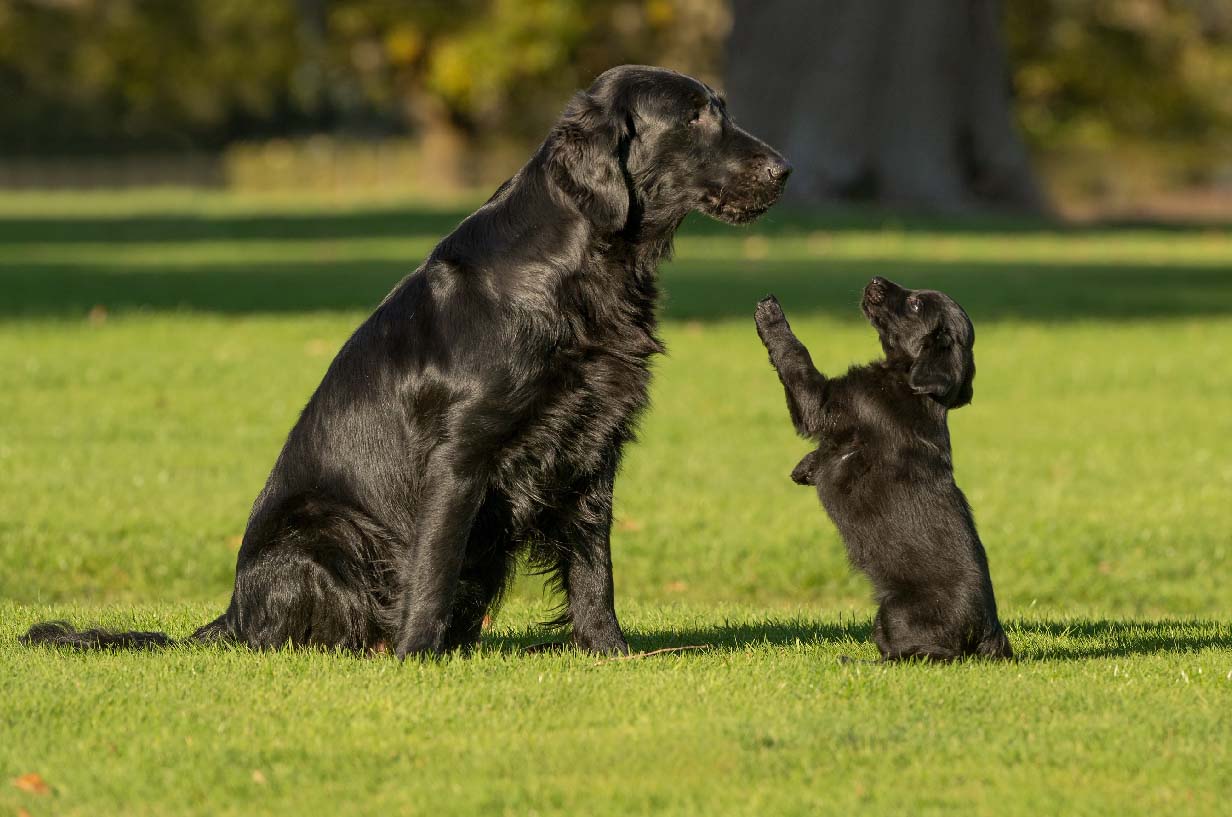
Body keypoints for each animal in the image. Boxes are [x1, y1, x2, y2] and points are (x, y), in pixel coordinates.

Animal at [26, 67, 788, 660]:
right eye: (695, 117)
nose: (783, 171)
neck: (573, 266)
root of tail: (229, 616)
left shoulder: (594, 444)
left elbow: (592, 569)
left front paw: (611, 652)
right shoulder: (462, 452)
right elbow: (435, 562)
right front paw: (416, 656)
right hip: (329, 533)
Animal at [753, 278, 1015, 660]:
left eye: (917, 305)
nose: (875, 280)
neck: (908, 382)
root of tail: (989, 631)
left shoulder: (827, 402)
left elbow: (797, 359)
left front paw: (771, 316)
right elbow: (825, 450)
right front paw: (804, 468)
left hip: (899, 613)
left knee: (926, 655)